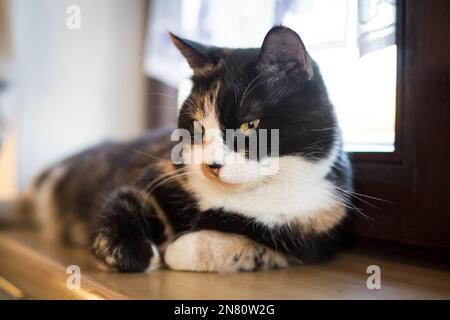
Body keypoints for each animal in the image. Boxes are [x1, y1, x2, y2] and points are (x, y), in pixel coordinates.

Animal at [22, 26, 354, 272]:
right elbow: (124, 199)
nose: (212, 165)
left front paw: (181, 249)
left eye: (250, 124)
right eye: (197, 126)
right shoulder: (158, 174)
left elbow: (257, 249)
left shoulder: (319, 229)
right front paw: (135, 253)